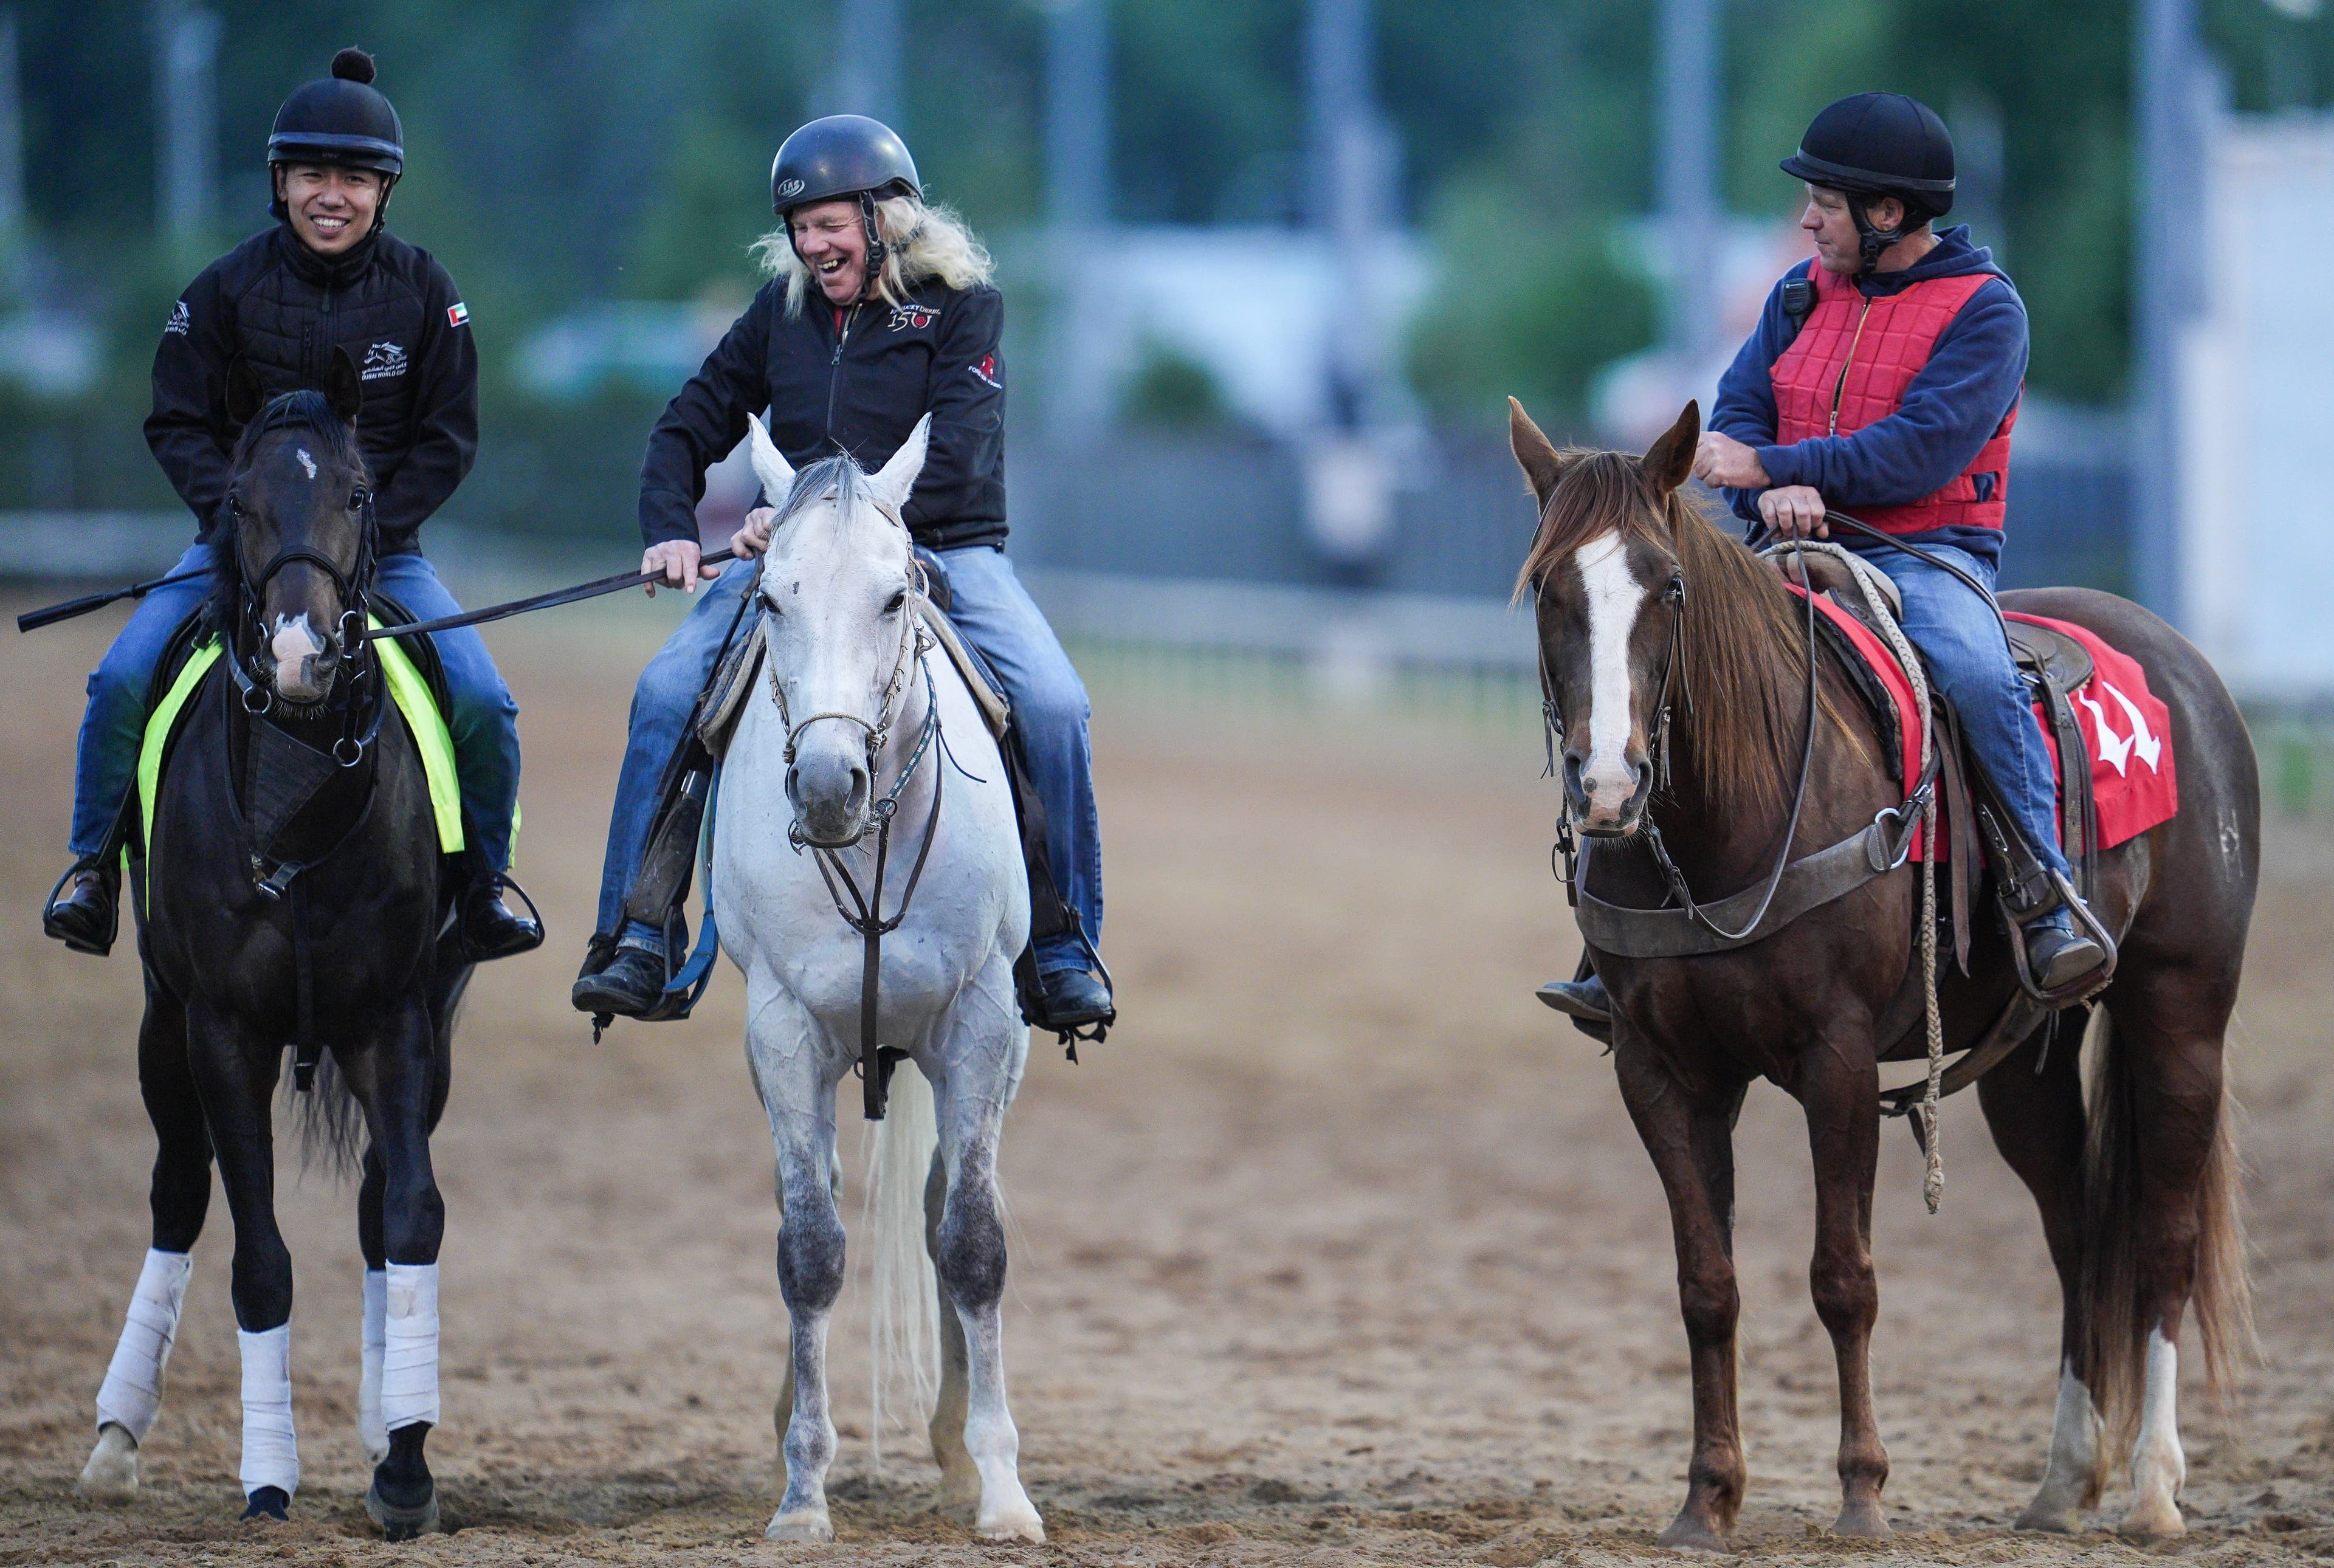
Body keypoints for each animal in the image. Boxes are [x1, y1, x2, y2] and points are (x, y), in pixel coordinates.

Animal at [75, 351, 471, 1539]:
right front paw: (268, 1478)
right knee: (177, 1192)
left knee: (377, 1210)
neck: (298, 800)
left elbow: (411, 1214)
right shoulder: (221, 1029)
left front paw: (405, 1462)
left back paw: (386, 1416)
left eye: (358, 491)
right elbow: (258, 1261)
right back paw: (116, 1436)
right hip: (161, 1032)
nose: (300, 654)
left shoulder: (396, 1019)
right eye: (240, 504)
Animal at [709, 411, 1044, 1543]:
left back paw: (952, 1447)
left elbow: (975, 1242)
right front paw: (803, 1493)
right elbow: (809, 1248)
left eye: (897, 595)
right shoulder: (781, 1033)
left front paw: (1004, 1491)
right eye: (769, 595)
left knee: (946, 1205)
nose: (825, 786)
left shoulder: (981, 1025)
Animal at [1510, 397, 2256, 1546]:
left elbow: (1843, 1277)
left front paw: (1863, 1494)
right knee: (2080, 1232)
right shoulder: (1662, 1071)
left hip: (2181, 1010)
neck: (1735, 814)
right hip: (2025, 1062)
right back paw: (2060, 1484)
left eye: (1668, 584)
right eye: (1548, 585)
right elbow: (1706, 1285)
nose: (1608, 785)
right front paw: (1706, 1503)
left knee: (2163, 1237)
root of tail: (2186, 669)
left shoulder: (1839, 1056)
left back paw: (2154, 1491)